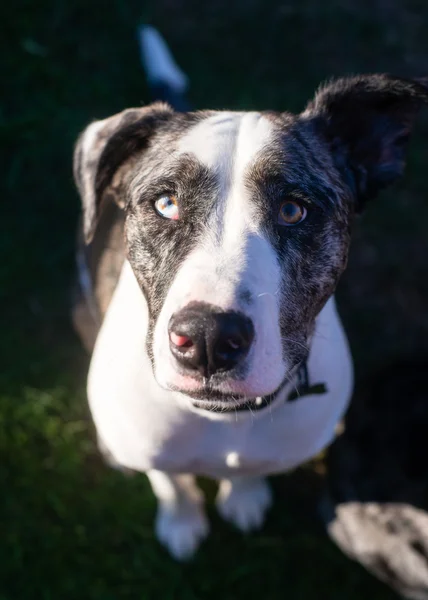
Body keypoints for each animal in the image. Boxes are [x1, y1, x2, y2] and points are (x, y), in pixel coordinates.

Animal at [72, 28, 428, 560]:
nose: (208, 338)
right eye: (166, 204)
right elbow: (169, 478)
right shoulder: (155, 449)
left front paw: (244, 498)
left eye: (293, 210)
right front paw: (182, 521)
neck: (224, 421)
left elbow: (251, 473)